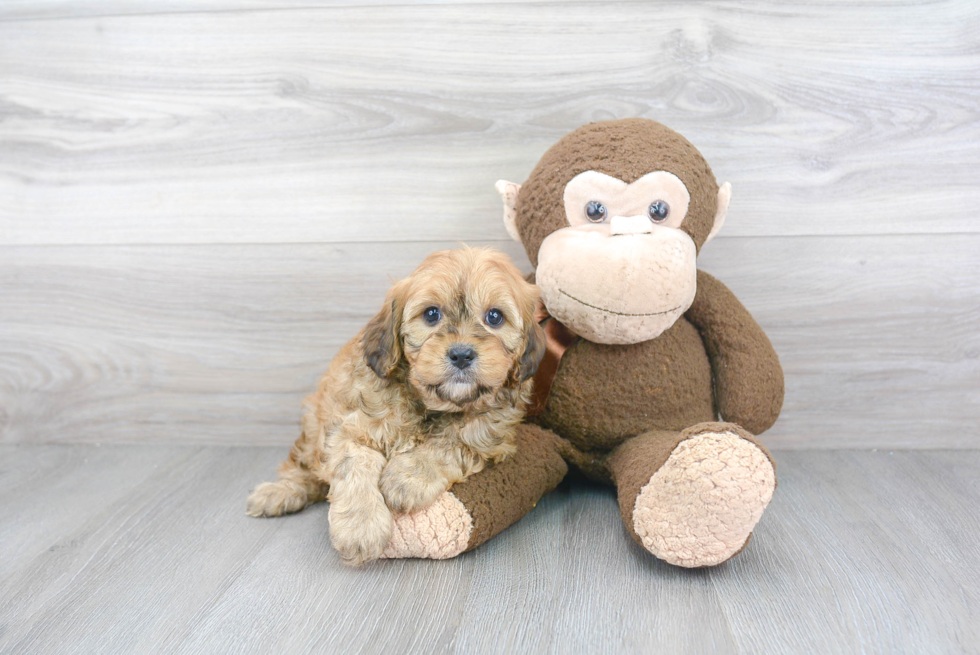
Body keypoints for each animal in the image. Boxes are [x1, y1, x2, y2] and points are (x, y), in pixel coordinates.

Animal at [245, 249, 544, 568]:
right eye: (431, 314)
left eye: (495, 317)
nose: (461, 354)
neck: (432, 406)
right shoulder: (348, 426)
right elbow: (355, 462)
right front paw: (360, 528)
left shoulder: (490, 435)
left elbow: (452, 443)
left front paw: (406, 480)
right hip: (313, 423)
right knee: (302, 467)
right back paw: (278, 493)